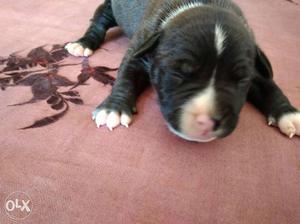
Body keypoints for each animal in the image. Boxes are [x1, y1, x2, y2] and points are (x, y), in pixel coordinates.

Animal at [66, 0, 300, 142]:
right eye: (178, 74)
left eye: (241, 80)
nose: (207, 122)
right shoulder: (139, 50)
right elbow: (125, 78)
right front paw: (113, 109)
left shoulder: (255, 66)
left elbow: (269, 86)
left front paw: (288, 114)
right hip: (109, 9)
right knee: (99, 22)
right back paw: (82, 43)